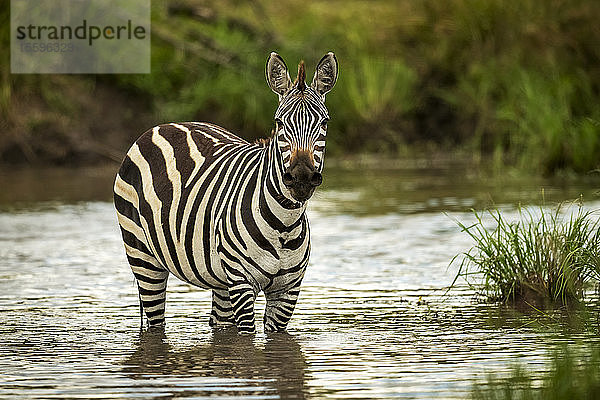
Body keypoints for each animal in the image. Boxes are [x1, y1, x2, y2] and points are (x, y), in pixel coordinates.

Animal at [112, 53, 338, 334]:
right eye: (279, 123)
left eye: (324, 122)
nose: (301, 178)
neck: (284, 224)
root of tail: (164, 125)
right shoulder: (242, 283)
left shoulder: (287, 291)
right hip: (142, 254)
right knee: (155, 323)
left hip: (220, 279)